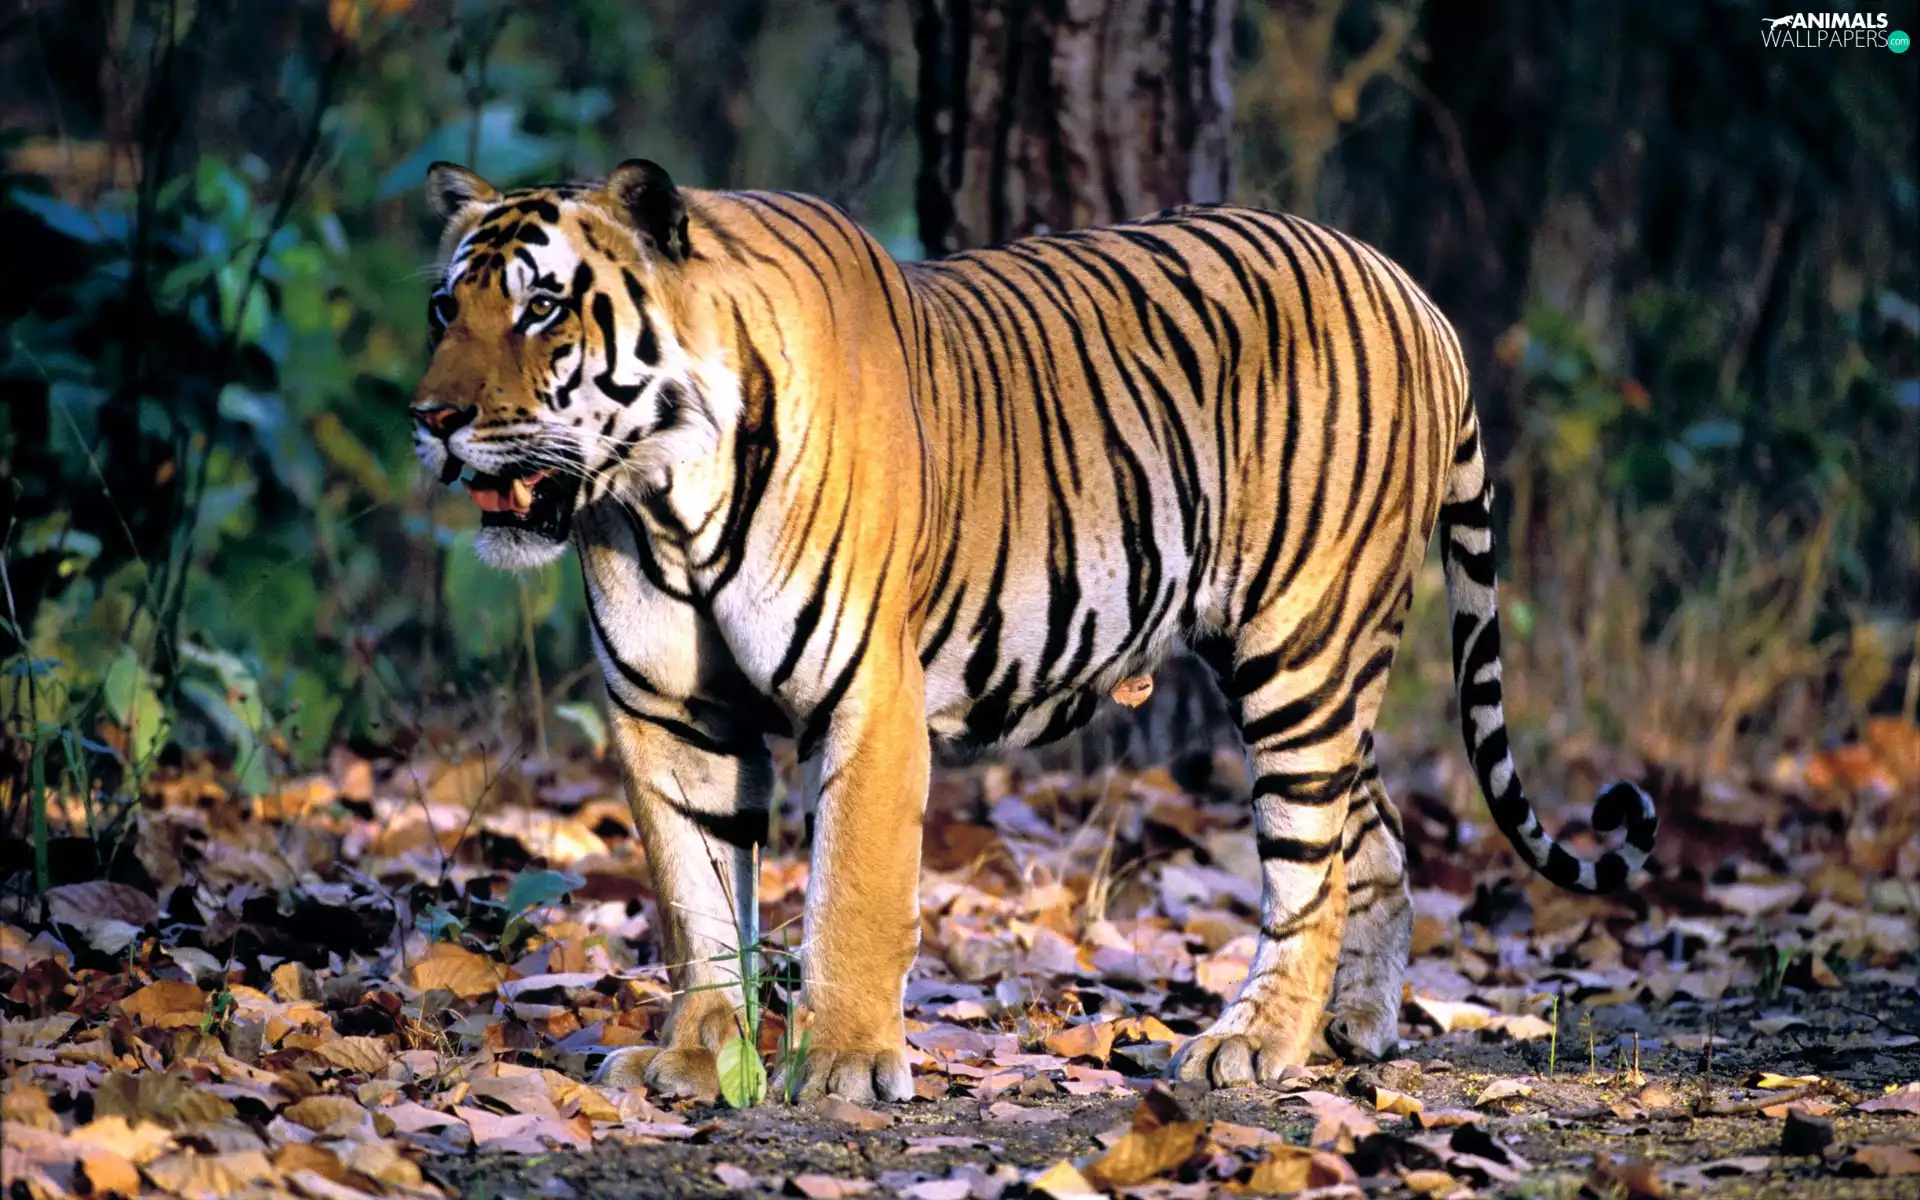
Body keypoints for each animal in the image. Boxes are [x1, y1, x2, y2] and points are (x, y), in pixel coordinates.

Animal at [410, 159, 1658, 1103]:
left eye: (541, 306)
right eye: (444, 309)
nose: (431, 418)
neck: (659, 495)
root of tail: (1415, 292)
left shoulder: (868, 693)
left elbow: (851, 891)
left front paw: (844, 1067)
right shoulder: (670, 714)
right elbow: (694, 898)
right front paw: (693, 1059)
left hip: (1304, 646)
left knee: (1312, 866)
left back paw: (1256, 1045)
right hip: (1294, 660)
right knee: (1378, 838)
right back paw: (1354, 1028)